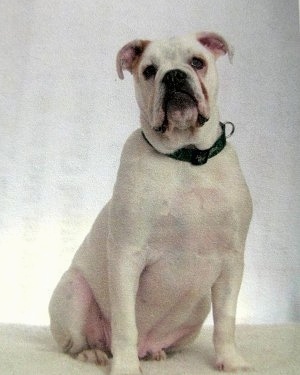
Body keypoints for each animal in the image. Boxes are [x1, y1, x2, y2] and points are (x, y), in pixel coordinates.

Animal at [49, 30, 253, 374]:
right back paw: (93, 354)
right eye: (148, 70)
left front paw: (232, 361)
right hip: (74, 290)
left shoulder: (231, 261)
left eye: (197, 62)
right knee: (75, 343)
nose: (174, 76)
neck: (186, 157)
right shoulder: (127, 256)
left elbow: (226, 320)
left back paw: (155, 353)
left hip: (199, 307)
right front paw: (125, 367)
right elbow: (125, 323)